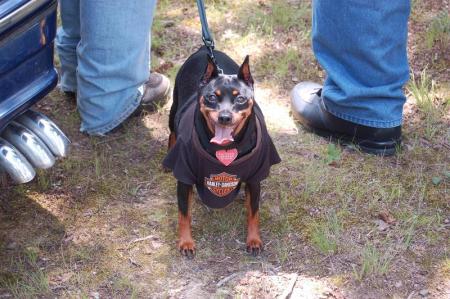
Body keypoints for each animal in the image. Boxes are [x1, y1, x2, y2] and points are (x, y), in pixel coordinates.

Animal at [163, 45, 282, 258]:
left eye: (240, 98)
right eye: (212, 97)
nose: (225, 117)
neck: (225, 147)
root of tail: (205, 48)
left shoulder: (255, 177)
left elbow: (254, 212)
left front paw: (254, 240)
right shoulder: (184, 177)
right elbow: (184, 214)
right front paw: (186, 242)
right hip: (174, 107)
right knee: (172, 131)